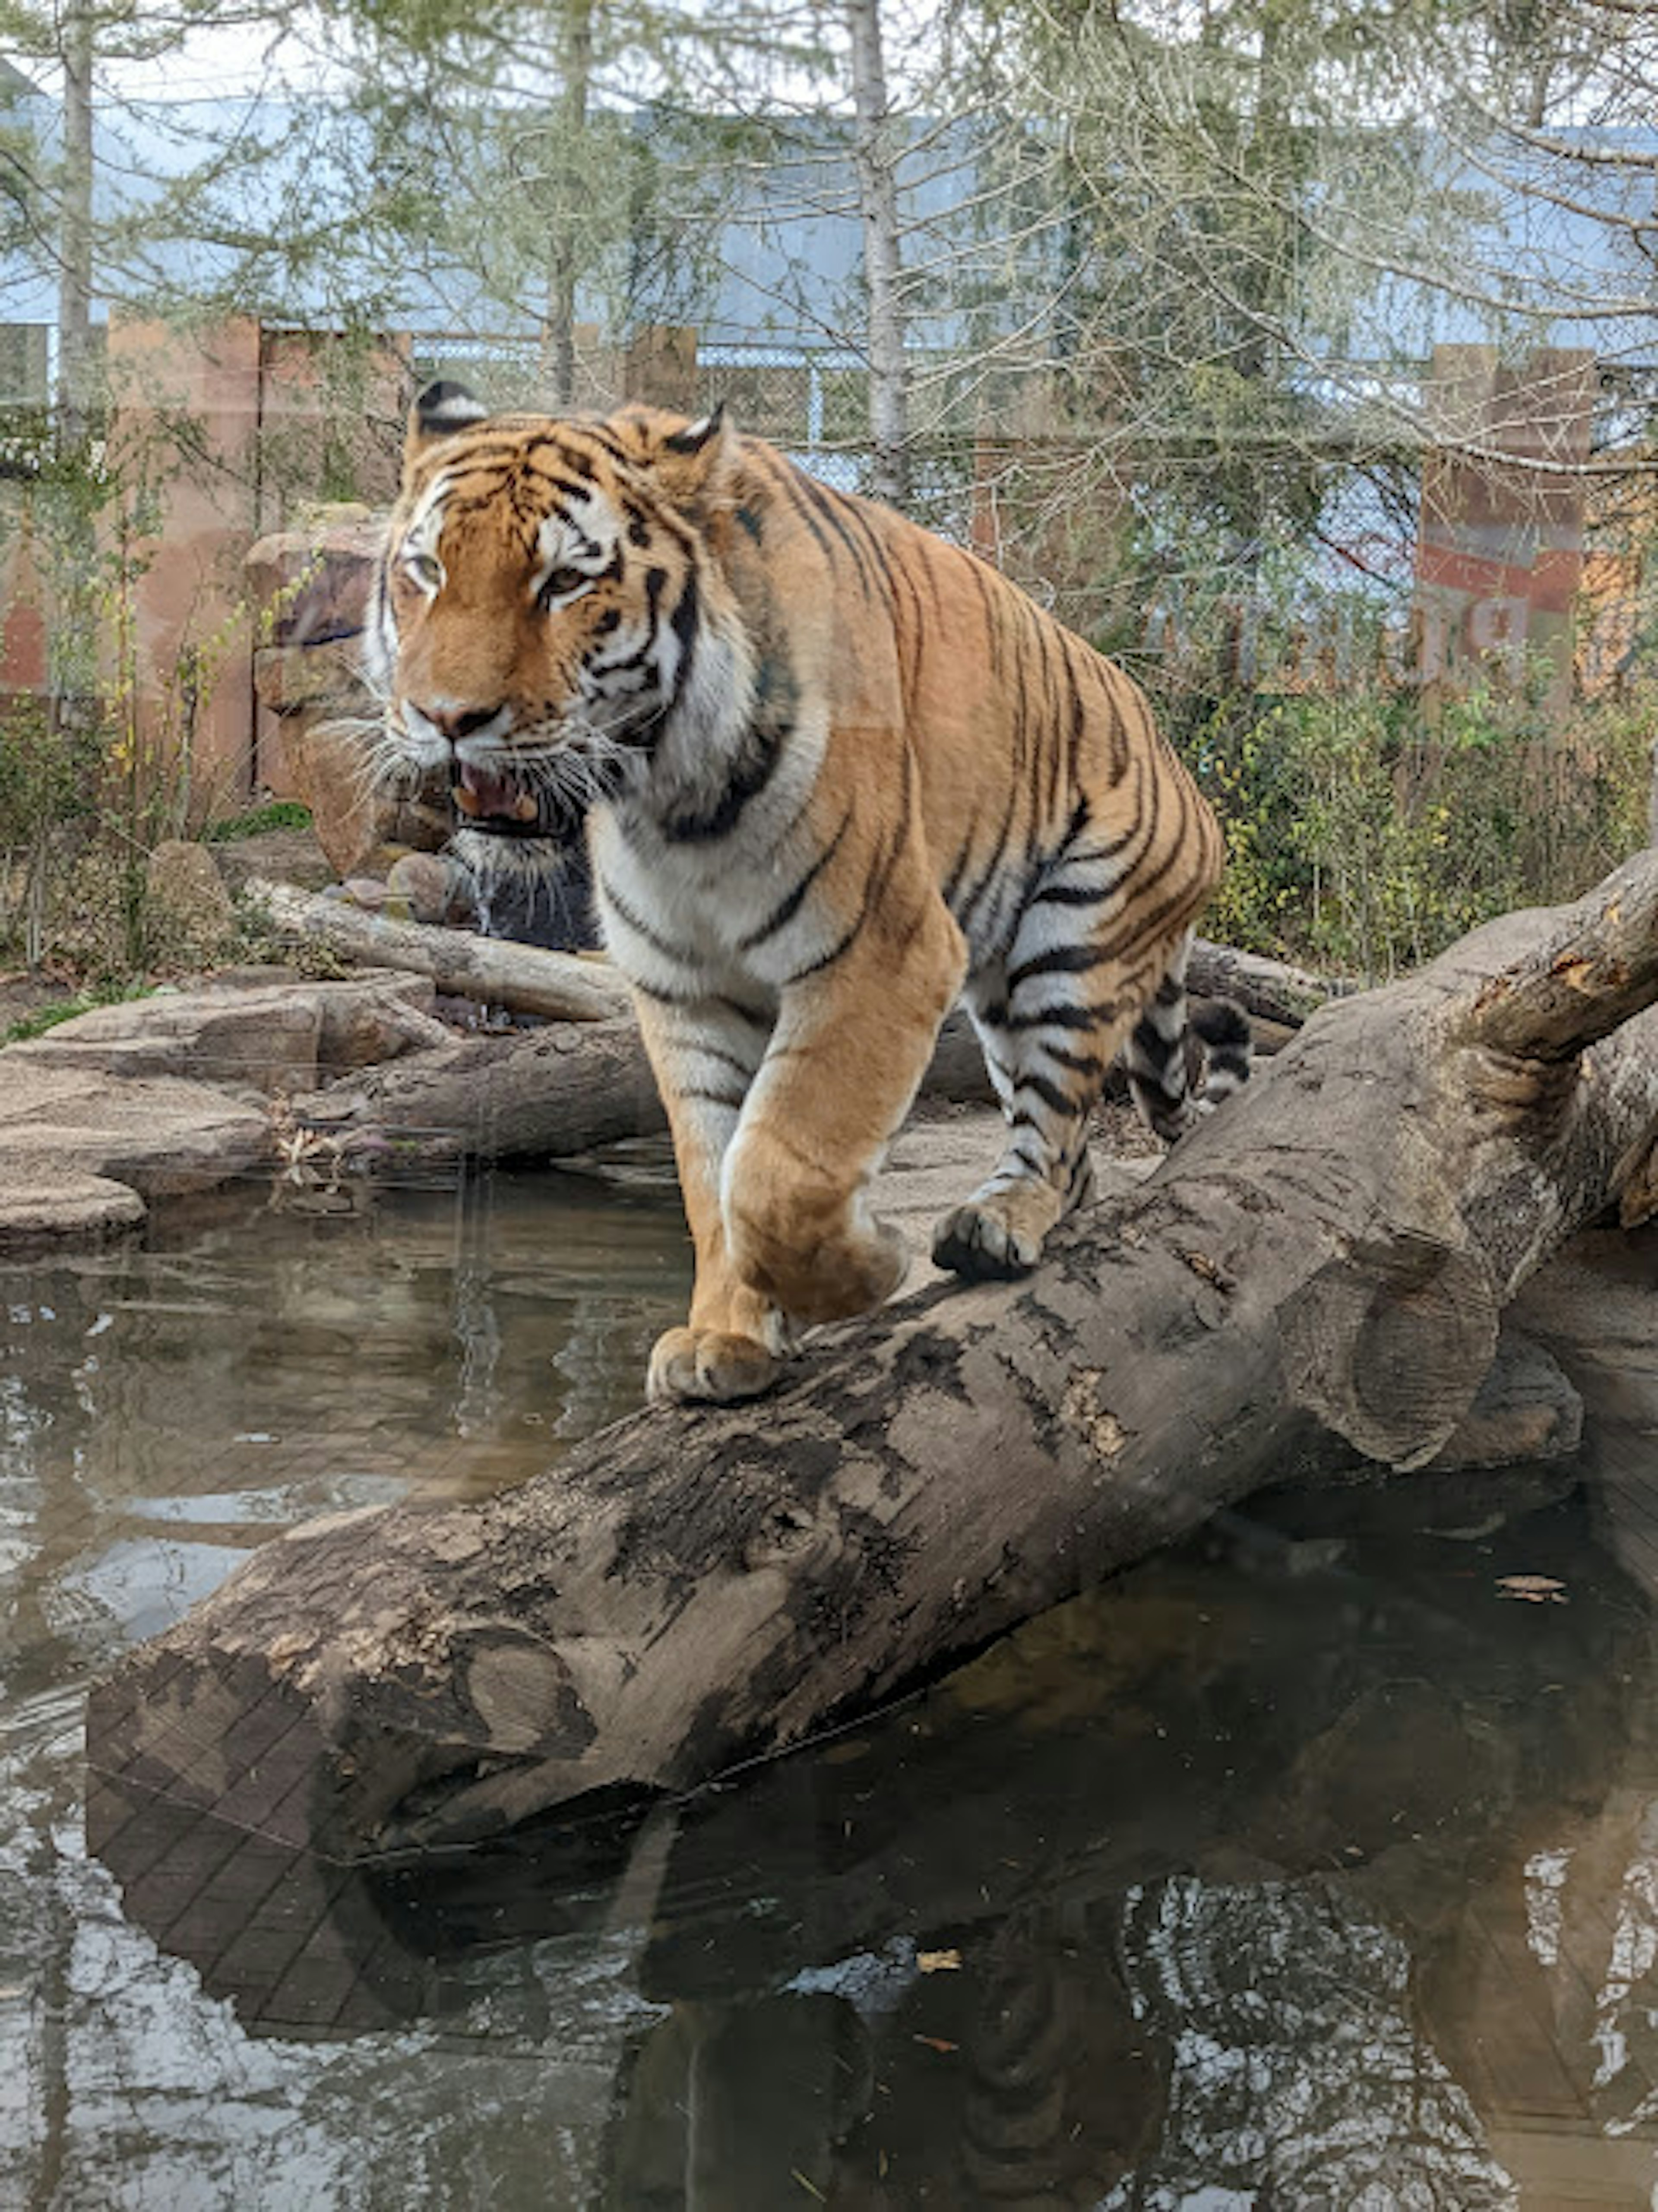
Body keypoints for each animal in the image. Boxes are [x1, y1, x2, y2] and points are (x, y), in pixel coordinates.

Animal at [367, 385, 1247, 1398]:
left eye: (563, 583)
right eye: (428, 569)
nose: (446, 718)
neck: (668, 803)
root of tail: (1177, 760)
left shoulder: (884, 955)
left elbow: (779, 1170)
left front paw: (868, 1267)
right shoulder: (684, 987)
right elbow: (712, 1176)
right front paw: (726, 1338)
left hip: (1075, 938)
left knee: (1057, 1125)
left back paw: (994, 1224)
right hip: (999, 991)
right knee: (1078, 1156)